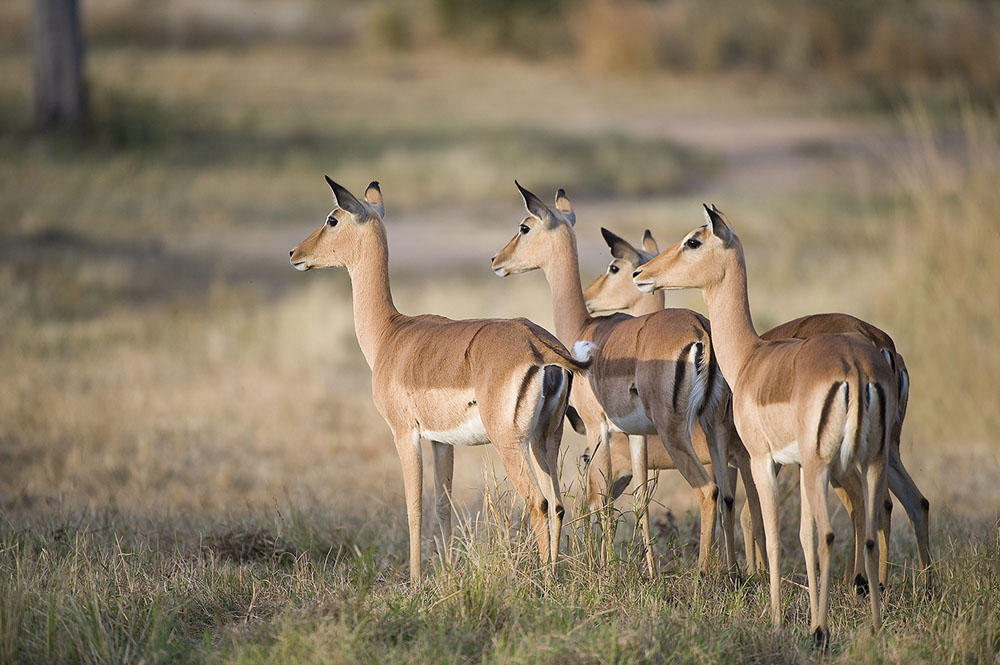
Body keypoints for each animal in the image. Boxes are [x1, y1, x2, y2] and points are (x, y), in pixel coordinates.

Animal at [289, 177, 595, 582]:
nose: (294, 252)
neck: (391, 333)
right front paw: (447, 572)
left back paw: (542, 582)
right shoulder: (441, 442)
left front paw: (416, 581)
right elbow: (443, 505)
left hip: (511, 442)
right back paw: (553, 576)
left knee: (539, 503)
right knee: (558, 504)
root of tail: (539, 345)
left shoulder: (405, 433)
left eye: (332, 219)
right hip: (546, 439)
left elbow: (413, 507)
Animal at [492, 183, 733, 577]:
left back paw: (702, 576)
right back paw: (733, 571)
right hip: (716, 426)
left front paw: (602, 568)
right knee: (728, 495)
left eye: (525, 227)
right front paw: (648, 571)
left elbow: (598, 499)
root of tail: (701, 331)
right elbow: (639, 499)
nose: (497, 260)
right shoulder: (634, 433)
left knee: (708, 491)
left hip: (676, 430)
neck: (584, 328)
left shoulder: (597, 427)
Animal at [586, 227, 933, 592]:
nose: (641, 275)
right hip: (885, 449)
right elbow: (736, 507)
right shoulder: (737, 459)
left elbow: (746, 511)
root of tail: (878, 342)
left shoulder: (747, 456)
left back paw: (862, 583)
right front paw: (743, 572)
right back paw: (914, 585)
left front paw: (749, 573)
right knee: (909, 503)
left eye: (615, 267)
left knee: (863, 506)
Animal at [633, 205, 896, 647]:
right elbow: (801, 537)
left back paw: (821, 633)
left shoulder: (762, 461)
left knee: (829, 533)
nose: (641, 273)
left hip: (825, 465)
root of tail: (856, 367)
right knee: (871, 527)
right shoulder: (798, 465)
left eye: (693, 241)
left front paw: (777, 620)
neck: (750, 357)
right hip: (869, 462)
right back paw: (873, 627)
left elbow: (771, 536)